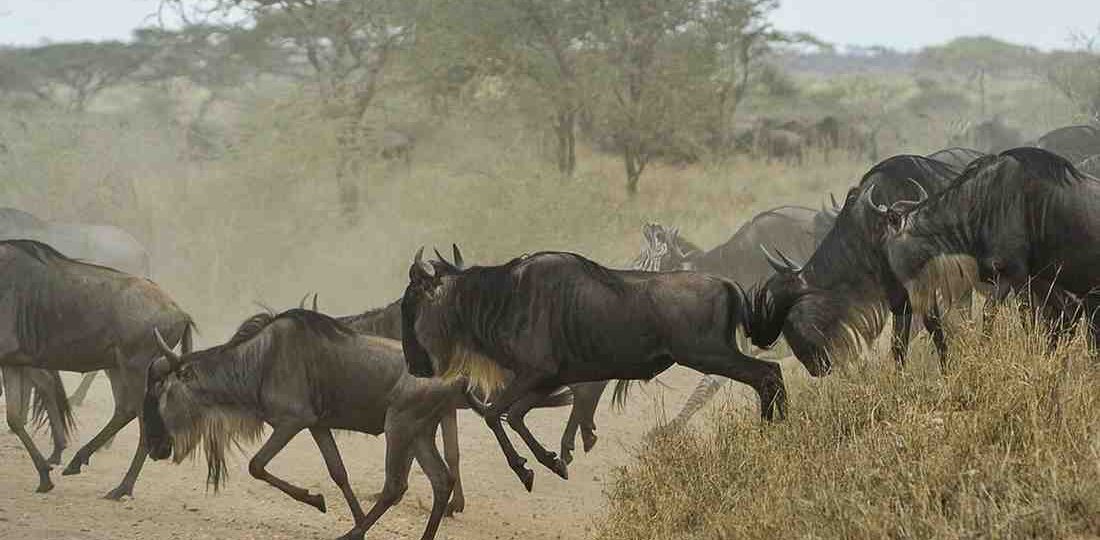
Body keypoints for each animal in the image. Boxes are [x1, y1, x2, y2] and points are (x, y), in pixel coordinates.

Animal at [0, 240, 193, 497]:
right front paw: (44, 476)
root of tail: (180, 312)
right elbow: (14, 418)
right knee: (124, 411)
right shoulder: (11, 362)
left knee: (141, 427)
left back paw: (122, 488)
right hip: (118, 367)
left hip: (134, 368)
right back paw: (78, 461)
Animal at [400, 247, 779, 491]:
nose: (414, 365)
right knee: (771, 373)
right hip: (714, 354)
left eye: (411, 303)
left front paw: (525, 470)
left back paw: (767, 439)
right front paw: (552, 462)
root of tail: (727, 284)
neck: (504, 298)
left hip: (709, 354)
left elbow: (494, 414)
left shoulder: (534, 375)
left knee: (766, 374)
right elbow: (515, 415)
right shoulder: (544, 380)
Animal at [877, 147, 1100, 348]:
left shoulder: (1016, 275)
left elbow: (1020, 317)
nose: (895, 299)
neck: (983, 205)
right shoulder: (1017, 276)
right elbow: (993, 314)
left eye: (887, 246)